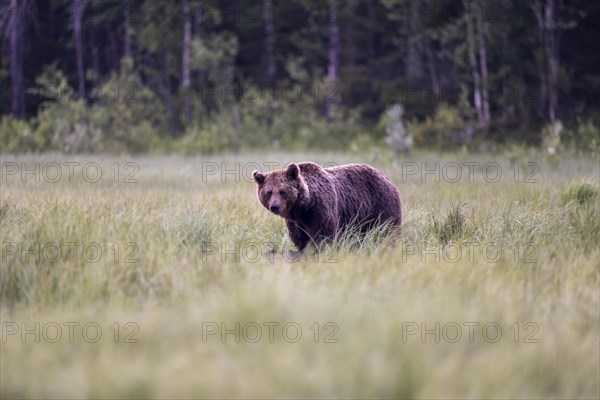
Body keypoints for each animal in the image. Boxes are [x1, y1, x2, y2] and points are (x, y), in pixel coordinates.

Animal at [251, 162, 400, 250]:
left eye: (282, 191)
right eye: (269, 192)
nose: (274, 206)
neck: (304, 207)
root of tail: (387, 178)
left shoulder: (321, 211)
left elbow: (324, 236)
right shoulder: (295, 222)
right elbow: (301, 240)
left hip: (381, 205)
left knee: (387, 230)